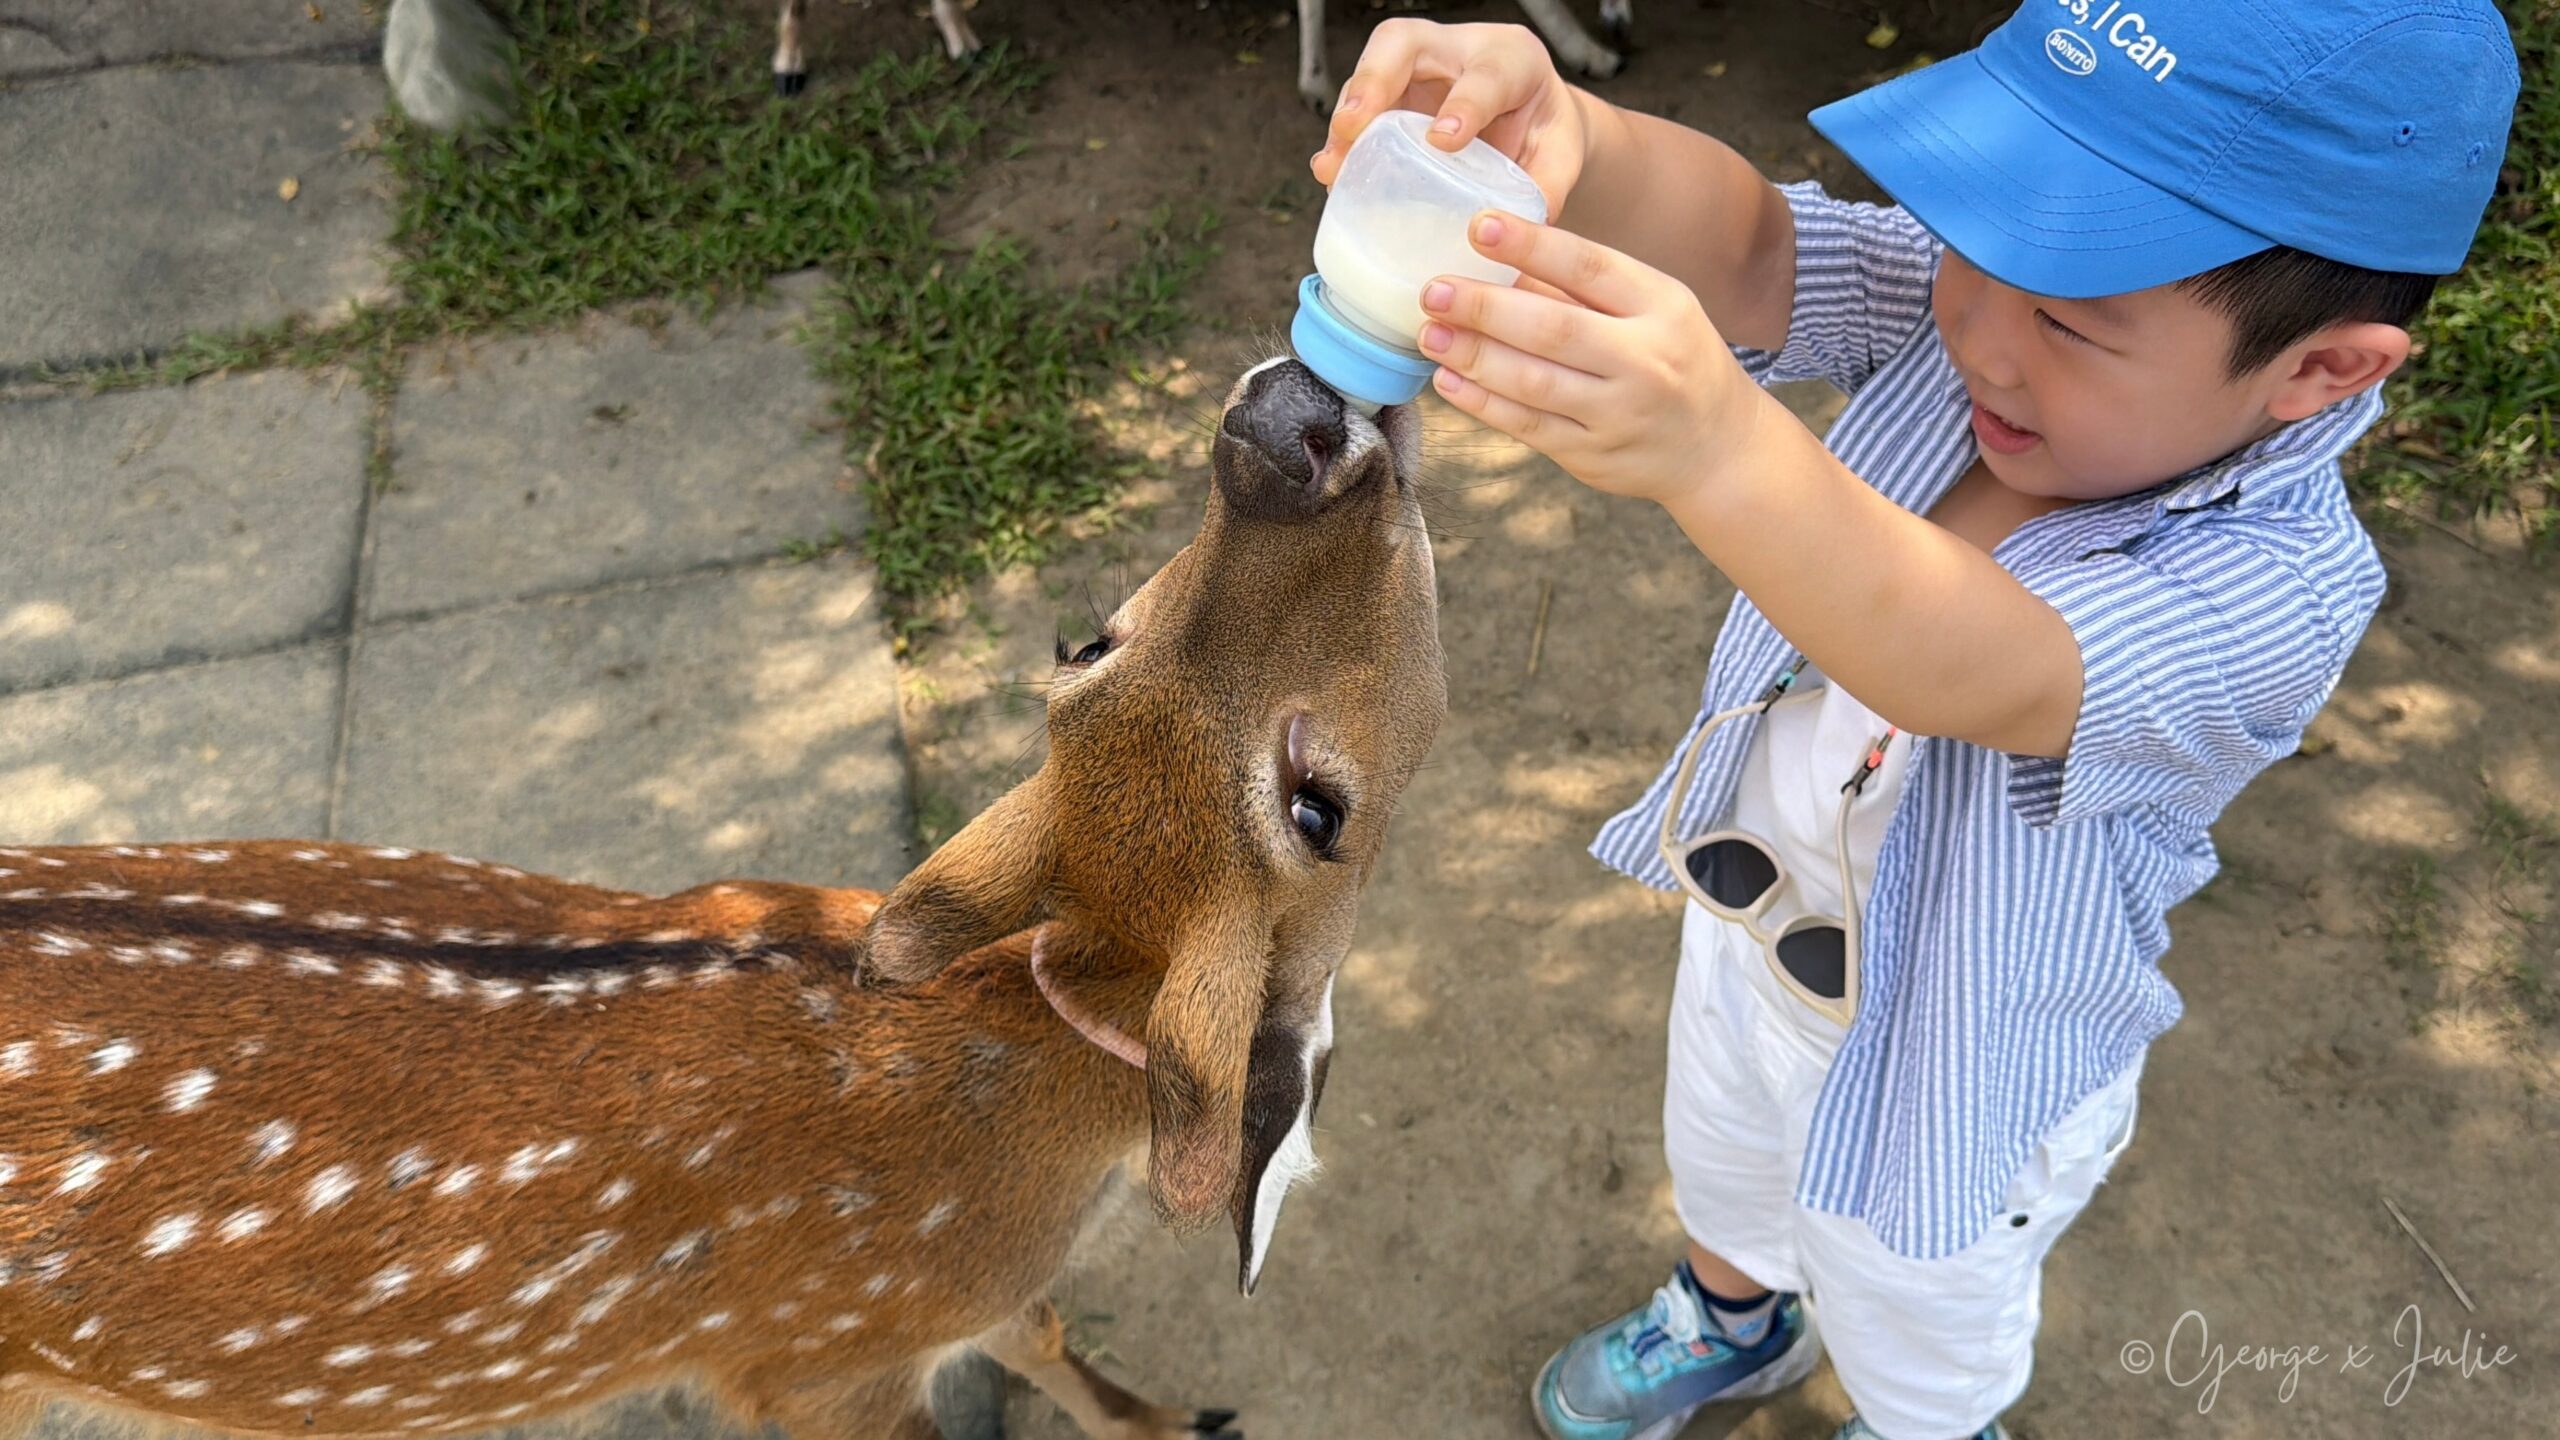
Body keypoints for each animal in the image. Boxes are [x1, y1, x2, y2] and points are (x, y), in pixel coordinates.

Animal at [0, 357, 1444, 1440]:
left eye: (1317, 805)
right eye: (1088, 641)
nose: (1289, 426)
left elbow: (1042, 1333)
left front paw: (1173, 1421)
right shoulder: (815, 1358)